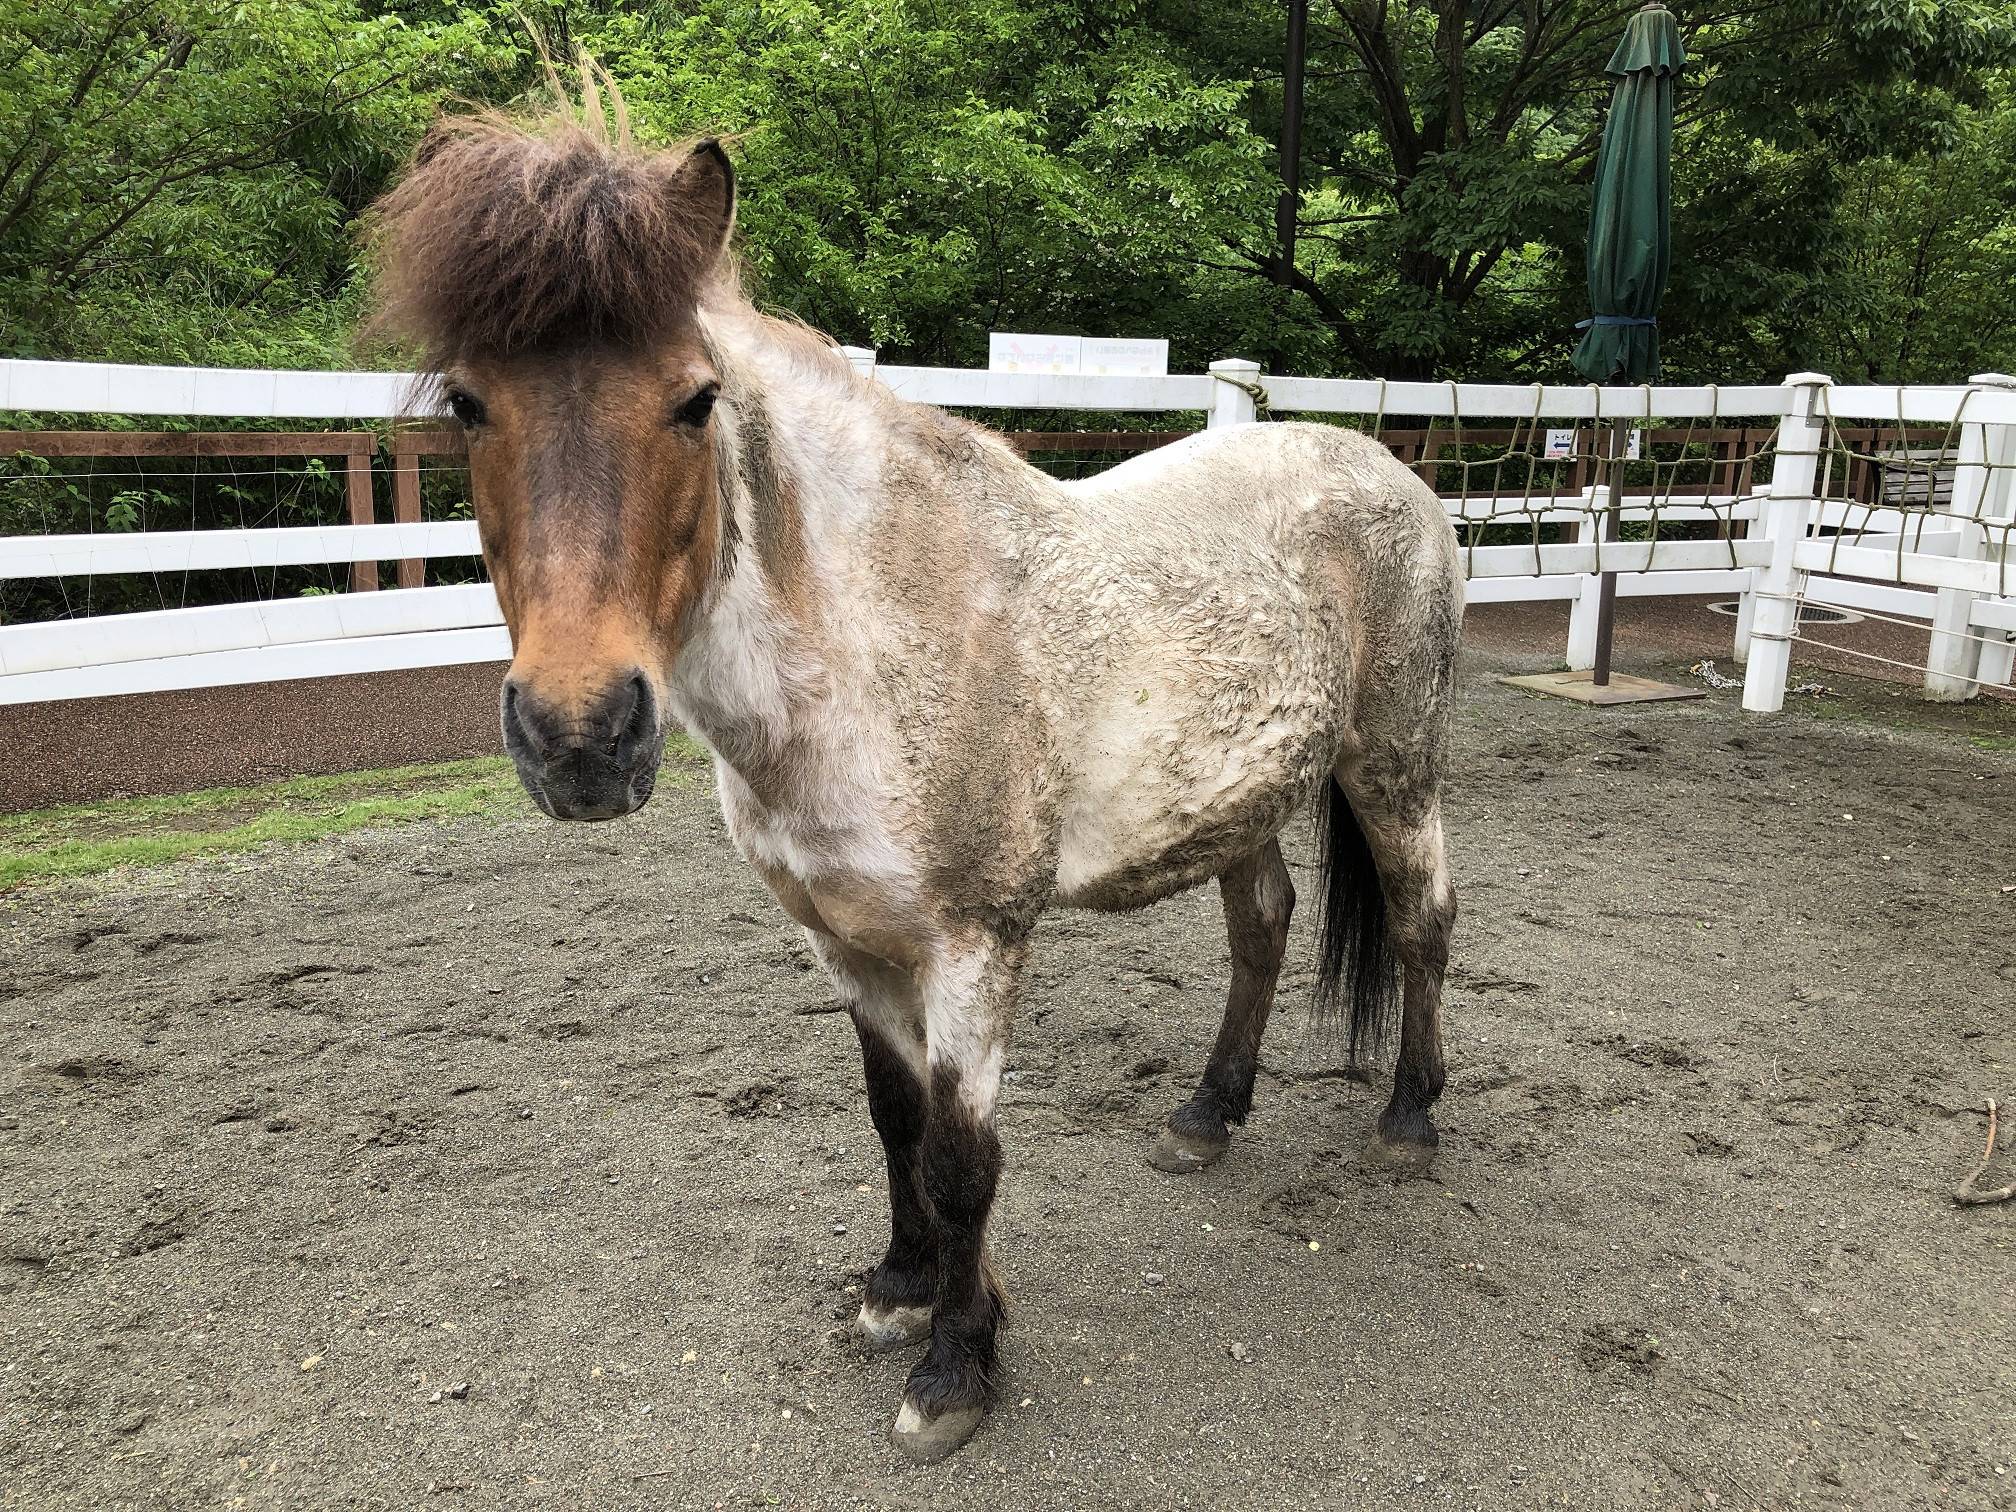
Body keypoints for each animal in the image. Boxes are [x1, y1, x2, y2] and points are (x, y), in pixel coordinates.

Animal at [364, 105, 1461, 1465]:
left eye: (694, 401)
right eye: (469, 402)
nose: (580, 736)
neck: (875, 643)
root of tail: (1388, 469)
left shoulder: (973, 944)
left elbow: (961, 1159)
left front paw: (956, 1366)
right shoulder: (842, 939)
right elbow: (892, 1122)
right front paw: (899, 1288)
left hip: (1392, 764)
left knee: (1421, 922)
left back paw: (1410, 1125)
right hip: (1237, 799)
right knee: (1264, 925)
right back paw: (1205, 1117)